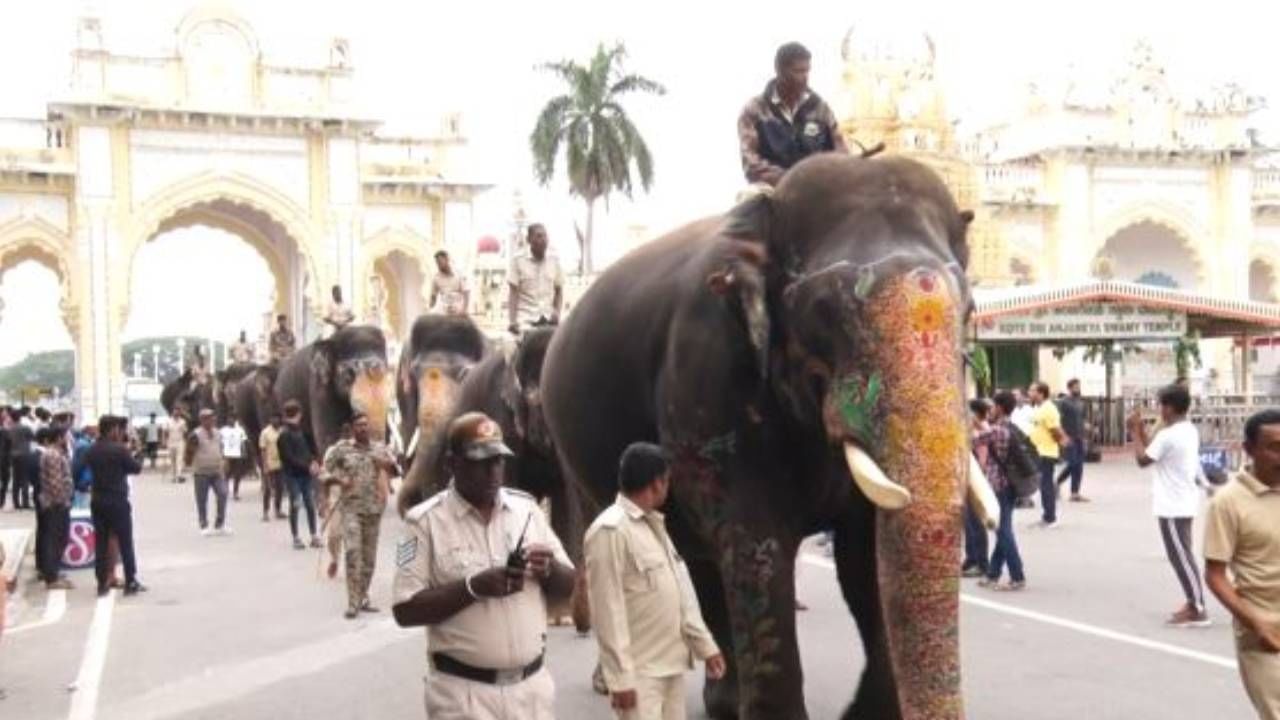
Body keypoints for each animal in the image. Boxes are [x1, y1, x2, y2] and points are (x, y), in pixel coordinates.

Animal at [540, 152, 998, 717]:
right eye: (823, 310)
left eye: (970, 311)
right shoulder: (708, 375)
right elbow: (757, 546)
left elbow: (864, 553)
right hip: (573, 450)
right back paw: (614, 685)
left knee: (699, 556)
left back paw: (722, 701)